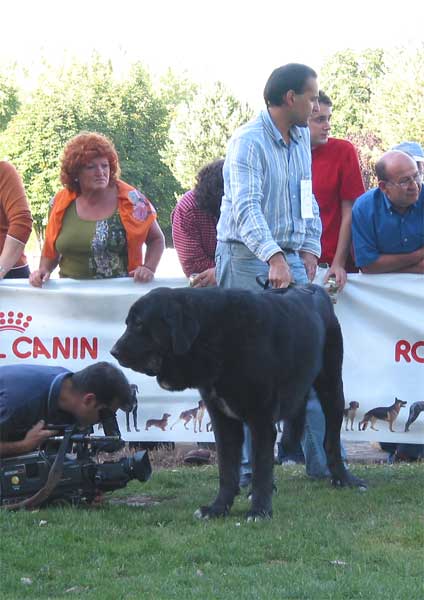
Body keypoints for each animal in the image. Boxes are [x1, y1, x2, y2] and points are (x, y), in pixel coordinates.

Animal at [112, 284, 364, 516]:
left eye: (139, 323)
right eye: (127, 322)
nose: (113, 351)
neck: (214, 337)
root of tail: (316, 288)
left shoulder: (261, 419)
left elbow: (261, 466)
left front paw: (259, 511)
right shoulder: (223, 420)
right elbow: (227, 469)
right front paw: (218, 508)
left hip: (332, 390)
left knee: (330, 441)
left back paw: (344, 479)